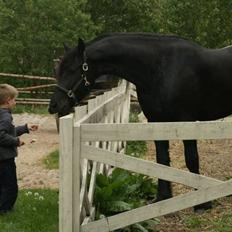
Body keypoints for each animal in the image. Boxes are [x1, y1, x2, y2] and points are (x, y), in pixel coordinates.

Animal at [49, 33, 232, 212]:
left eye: (72, 69)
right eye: (58, 70)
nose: (54, 105)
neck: (161, 68)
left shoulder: (186, 121)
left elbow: (191, 158)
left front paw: (202, 204)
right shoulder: (157, 121)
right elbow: (162, 160)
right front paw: (163, 197)